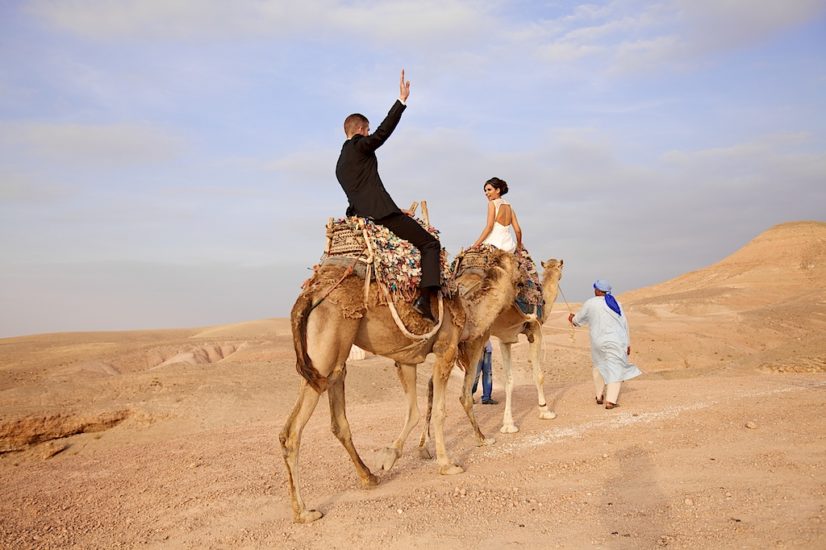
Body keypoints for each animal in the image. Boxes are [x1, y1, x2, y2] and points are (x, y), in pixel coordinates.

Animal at [280, 250, 520, 528]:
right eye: (518, 266)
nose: (524, 287)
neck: (467, 312)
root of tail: (307, 296)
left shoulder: (406, 359)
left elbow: (414, 411)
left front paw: (391, 455)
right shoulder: (446, 350)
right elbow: (441, 410)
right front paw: (448, 464)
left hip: (327, 361)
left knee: (336, 422)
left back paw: (369, 477)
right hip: (327, 350)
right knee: (293, 432)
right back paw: (304, 512)